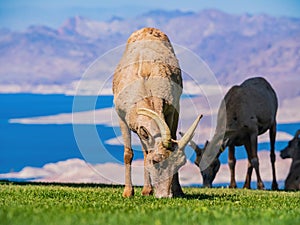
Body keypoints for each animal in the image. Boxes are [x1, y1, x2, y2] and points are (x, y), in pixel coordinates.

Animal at [112, 27, 202, 198]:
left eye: (180, 164)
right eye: (156, 161)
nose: (165, 196)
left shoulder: (171, 111)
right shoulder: (122, 117)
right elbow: (129, 153)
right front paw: (128, 192)